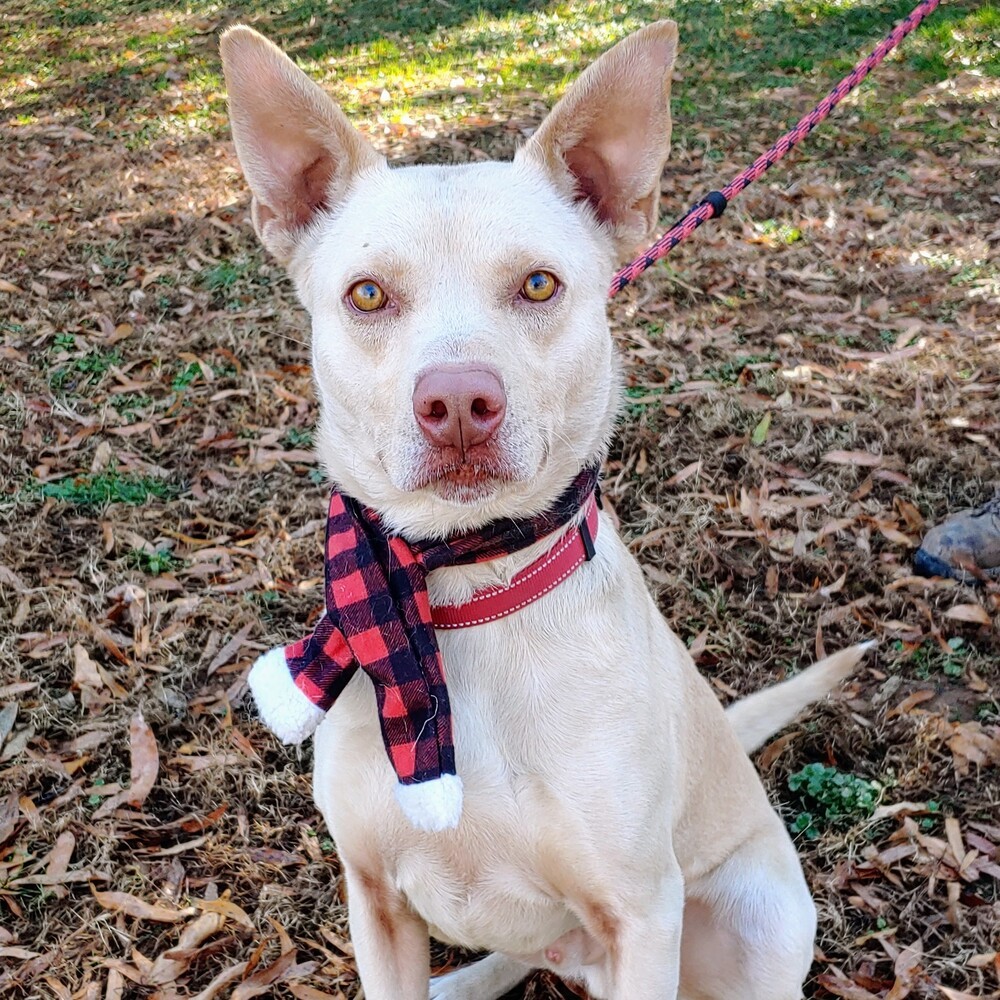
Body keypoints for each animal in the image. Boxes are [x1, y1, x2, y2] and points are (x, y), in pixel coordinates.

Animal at [223, 23, 872, 1000]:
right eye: (368, 294)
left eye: (537, 285)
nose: (457, 403)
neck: (454, 594)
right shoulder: (374, 899)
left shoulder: (643, 914)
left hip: (757, 917)